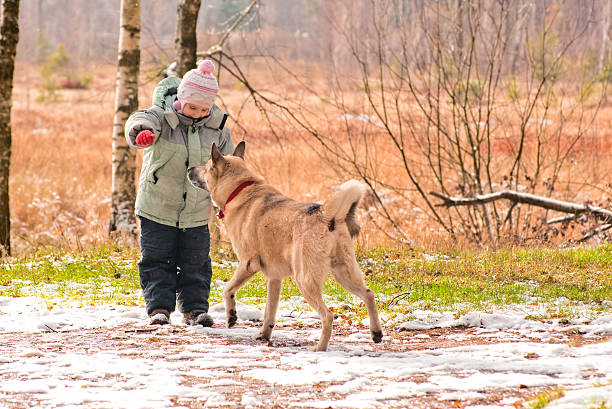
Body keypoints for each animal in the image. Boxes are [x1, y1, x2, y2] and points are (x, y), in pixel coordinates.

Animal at [188, 141, 382, 350]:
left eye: (206, 167)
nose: (189, 169)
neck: (240, 189)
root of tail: (325, 214)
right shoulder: (274, 278)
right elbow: (269, 311)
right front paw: (264, 335)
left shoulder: (247, 264)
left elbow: (227, 290)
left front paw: (231, 316)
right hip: (344, 273)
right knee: (369, 295)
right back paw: (376, 333)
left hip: (304, 279)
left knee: (328, 315)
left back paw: (320, 348)